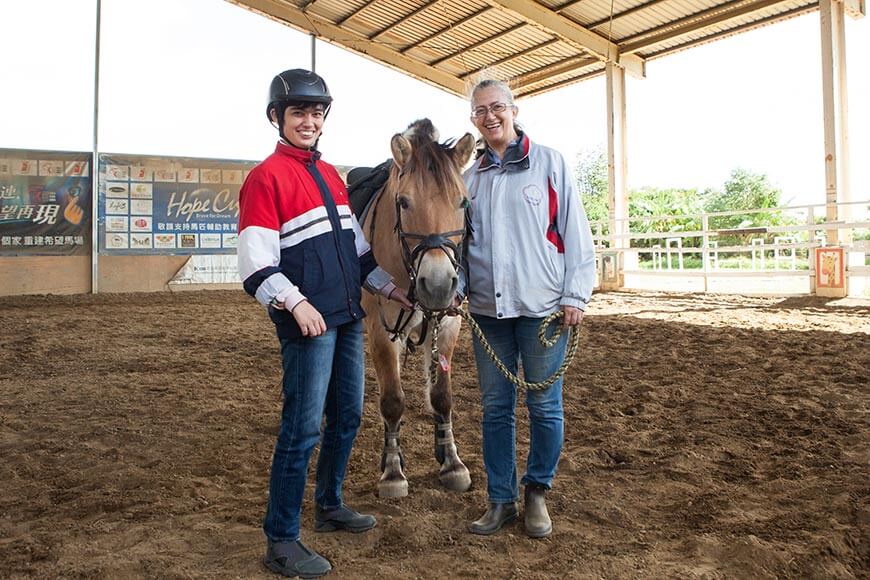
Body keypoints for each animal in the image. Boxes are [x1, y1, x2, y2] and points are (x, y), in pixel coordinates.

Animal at [362, 119, 476, 498]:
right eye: (403, 202)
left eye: (463, 201)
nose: (438, 284)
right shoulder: (381, 330)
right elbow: (392, 400)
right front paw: (392, 471)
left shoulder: (450, 323)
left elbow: (442, 396)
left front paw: (451, 462)